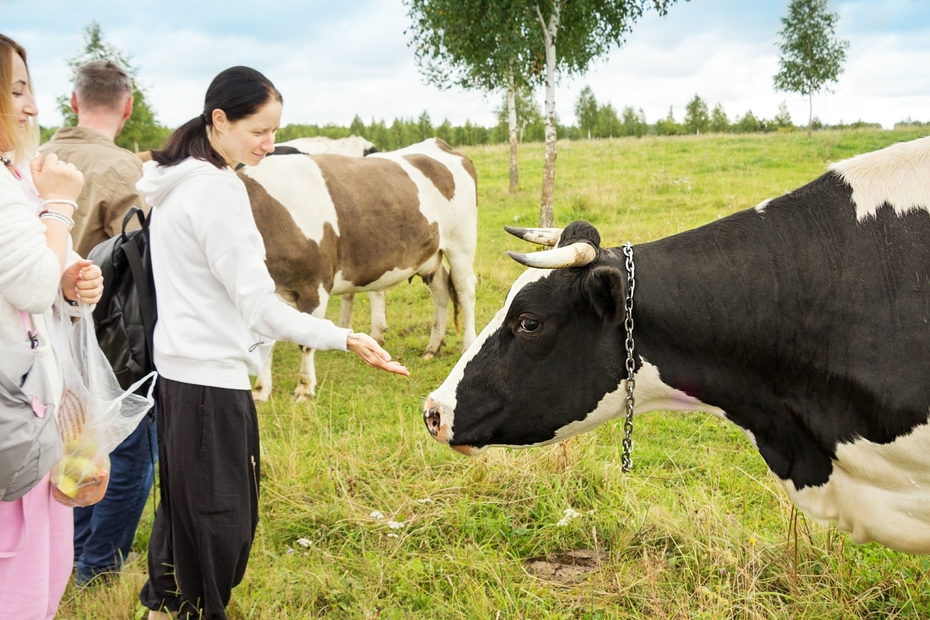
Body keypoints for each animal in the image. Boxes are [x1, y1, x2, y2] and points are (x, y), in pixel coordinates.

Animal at [243, 137, 474, 400]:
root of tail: (437, 143)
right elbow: (265, 343)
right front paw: (261, 390)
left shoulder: (315, 285)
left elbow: (306, 343)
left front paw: (304, 388)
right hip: (430, 254)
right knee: (442, 293)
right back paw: (432, 348)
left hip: (461, 243)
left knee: (465, 292)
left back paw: (468, 345)